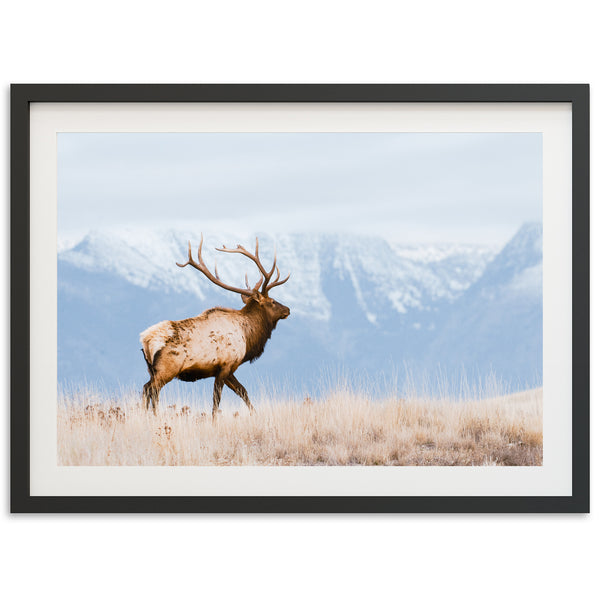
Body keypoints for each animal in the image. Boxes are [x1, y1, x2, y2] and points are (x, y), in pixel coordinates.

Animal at [141, 234, 290, 418]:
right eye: (273, 301)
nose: (288, 309)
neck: (248, 337)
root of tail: (146, 340)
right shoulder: (225, 366)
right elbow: (216, 400)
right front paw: (214, 420)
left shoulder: (230, 369)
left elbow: (243, 391)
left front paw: (255, 414)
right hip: (167, 368)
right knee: (151, 389)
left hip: (151, 370)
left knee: (147, 389)